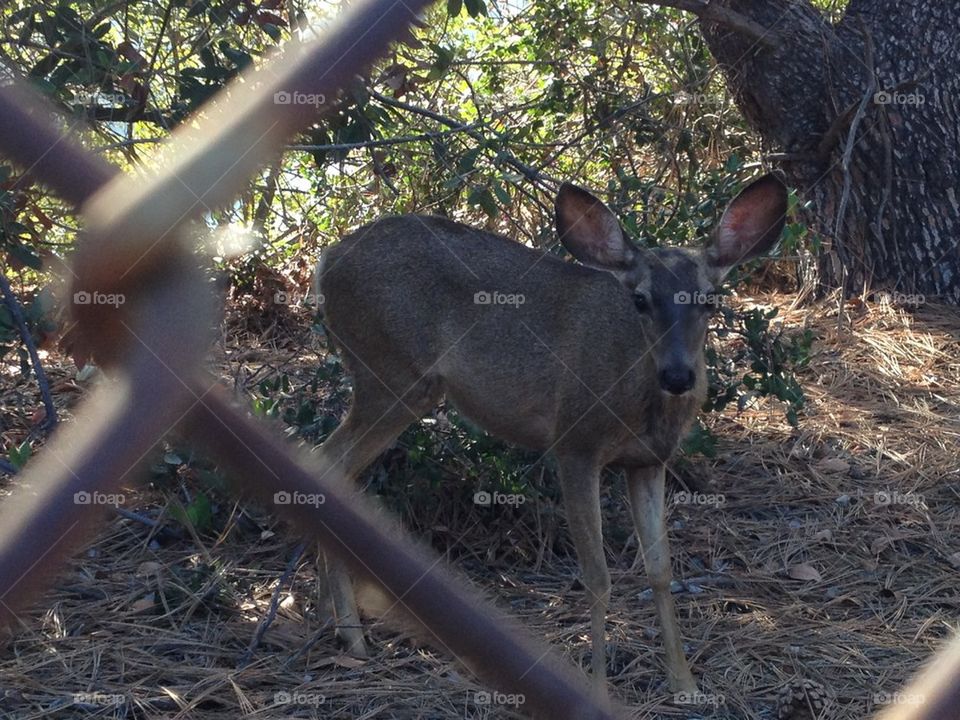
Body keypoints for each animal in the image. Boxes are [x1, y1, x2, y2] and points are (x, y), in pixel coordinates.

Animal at [312, 174, 787, 696]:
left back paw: (333, 621)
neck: (639, 400)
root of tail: (326, 260)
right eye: (640, 299)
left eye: (708, 299)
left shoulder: (649, 461)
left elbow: (661, 570)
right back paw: (350, 634)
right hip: (391, 374)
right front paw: (597, 688)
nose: (679, 375)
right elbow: (597, 575)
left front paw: (684, 684)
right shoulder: (574, 442)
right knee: (326, 461)